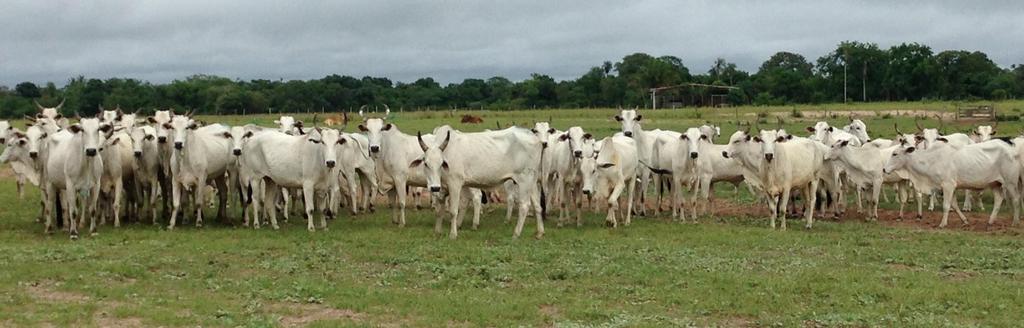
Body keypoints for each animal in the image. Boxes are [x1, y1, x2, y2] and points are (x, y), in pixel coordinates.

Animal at [884, 139, 1019, 226]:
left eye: (895, 153)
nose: (884, 169)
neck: (932, 160)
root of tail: (1012, 149)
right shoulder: (951, 187)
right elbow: (954, 205)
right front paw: (965, 221)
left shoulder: (948, 186)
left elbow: (946, 206)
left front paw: (942, 224)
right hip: (994, 183)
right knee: (998, 199)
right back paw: (990, 221)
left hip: (1010, 183)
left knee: (1016, 199)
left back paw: (1015, 222)